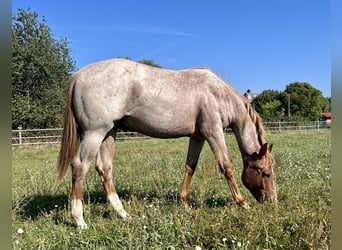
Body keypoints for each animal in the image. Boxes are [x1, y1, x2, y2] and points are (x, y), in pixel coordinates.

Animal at [56, 57, 276, 229]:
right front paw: (242, 203)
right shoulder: (213, 133)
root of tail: (79, 75)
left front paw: (185, 204)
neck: (218, 94)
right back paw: (79, 220)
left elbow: (190, 167)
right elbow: (226, 167)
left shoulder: (197, 137)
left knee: (104, 168)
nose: (272, 202)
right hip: (95, 133)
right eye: (265, 173)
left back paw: (123, 214)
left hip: (109, 132)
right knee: (80, 167)